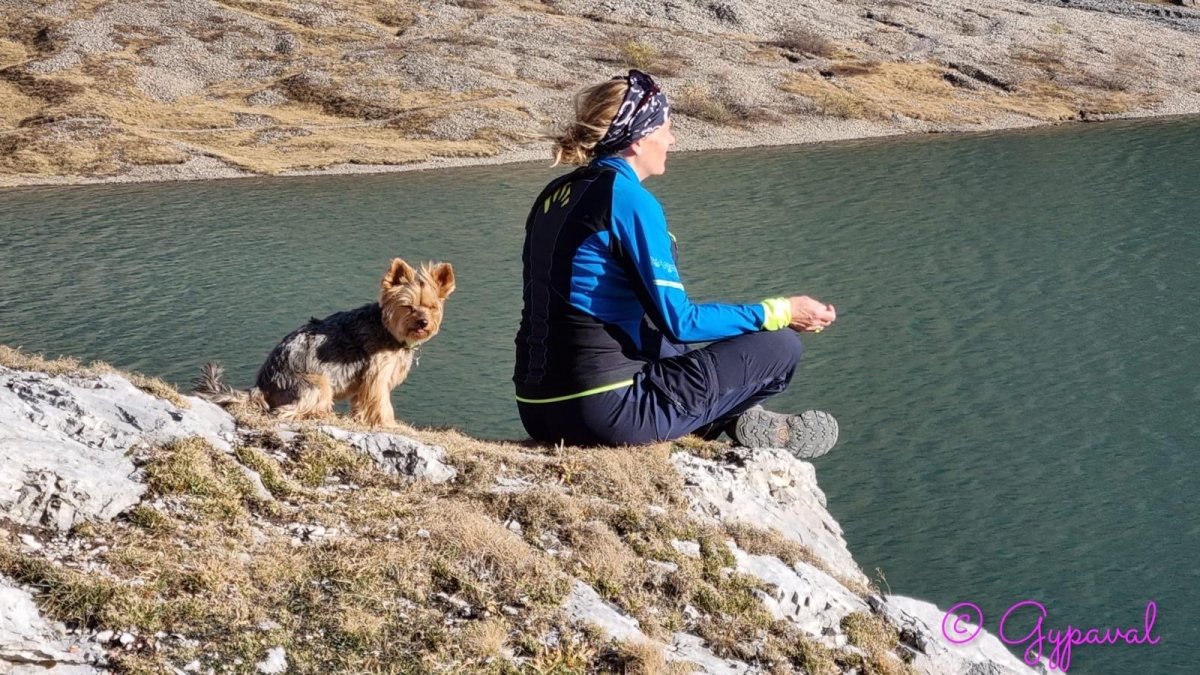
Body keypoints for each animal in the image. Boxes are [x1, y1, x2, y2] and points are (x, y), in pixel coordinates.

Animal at [194, 257, 455, 427]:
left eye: (432, 307)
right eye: (407, 307)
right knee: (285, 411)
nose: (422, 322)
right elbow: (381, 404)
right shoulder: (376, 376)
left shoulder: (364, 383)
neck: (387, 328)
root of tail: (261, 386)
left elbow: (362, 405)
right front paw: (390, 425)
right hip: (318, 383)